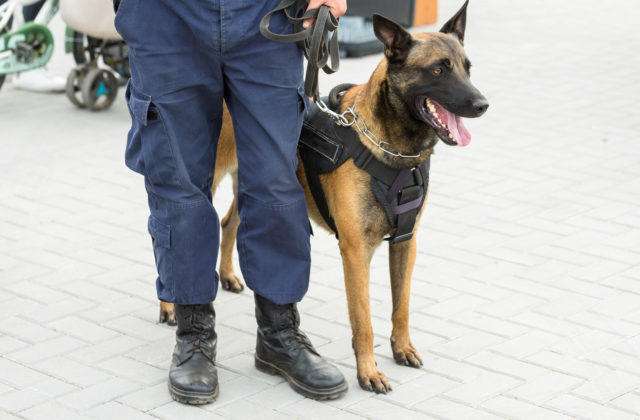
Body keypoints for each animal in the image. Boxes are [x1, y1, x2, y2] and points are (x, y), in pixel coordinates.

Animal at [159, 0, 484, 394]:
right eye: (438, 69)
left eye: (468, 68)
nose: (482, 104)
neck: (389, 149)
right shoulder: (355, 252)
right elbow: (364, 322)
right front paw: (369, 372)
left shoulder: (406, 241)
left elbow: (401, 306)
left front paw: (402, 348)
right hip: (203, 182)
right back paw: (169, 306)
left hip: (260, 182)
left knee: (228, 222)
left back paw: (227, 275)